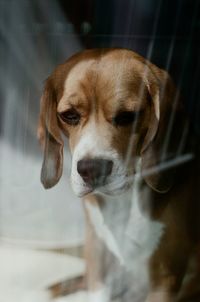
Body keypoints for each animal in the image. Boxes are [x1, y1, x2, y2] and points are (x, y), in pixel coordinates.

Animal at [38, 48, 199, 300]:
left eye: (127, 116)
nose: (92, 169)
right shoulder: (98, 264)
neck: (125, 200)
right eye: (69, 115)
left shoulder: (165, 280)